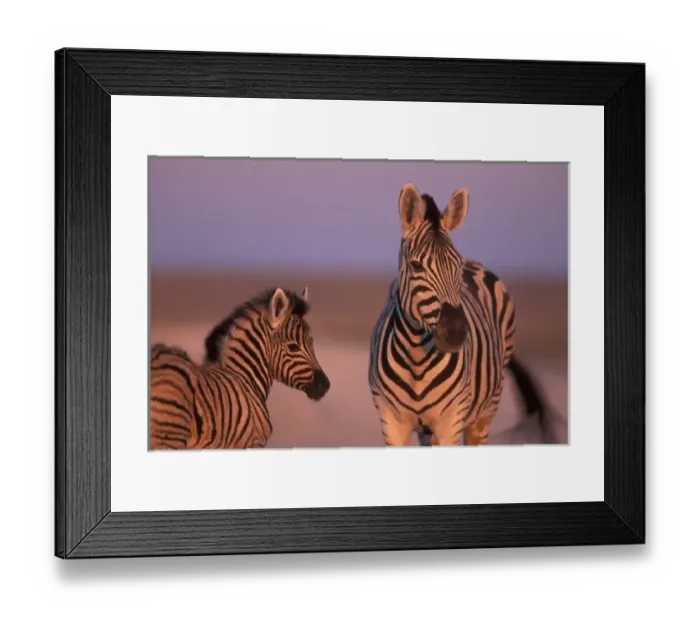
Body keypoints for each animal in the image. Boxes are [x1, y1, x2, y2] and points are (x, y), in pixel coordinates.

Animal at [368, 183, 546, 447]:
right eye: (417, 266)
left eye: (457, 265)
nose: (455, 332)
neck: (416, 360)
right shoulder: (391, 422)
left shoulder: (450, 422)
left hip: (485, 410)